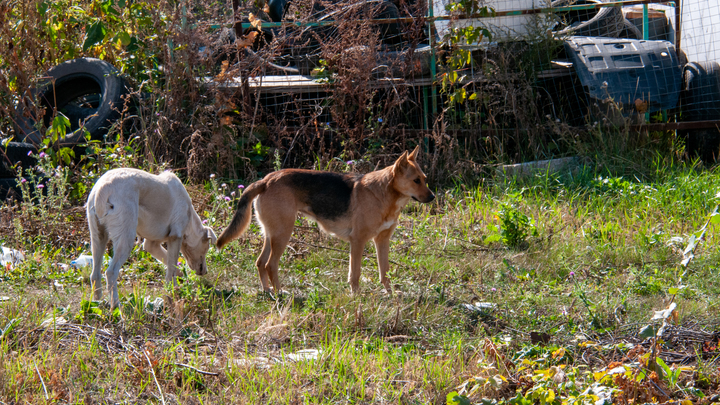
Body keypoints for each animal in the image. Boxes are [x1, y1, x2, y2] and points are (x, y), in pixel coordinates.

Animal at [87, 166, 217, 306]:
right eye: (207, 248)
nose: (205, 272)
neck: (190, 217)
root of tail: (102, 188)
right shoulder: (175, 237)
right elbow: (171, 269)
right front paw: (173, 293)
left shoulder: (151, 245)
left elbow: (170, 265)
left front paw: (179, 277)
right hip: (126, 238)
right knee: (111, 272)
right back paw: (116, 306)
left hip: (98, 237)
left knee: (95, 274)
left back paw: (97, 302)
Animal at [217, 145, 434, 294]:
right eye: (416, 181)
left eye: (425, 179)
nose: (432, 197)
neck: (385, 193)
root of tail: (266, 180)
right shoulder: (358, 241)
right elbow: (355, 274)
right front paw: (356, 297)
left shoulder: (382, 241)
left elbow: (384, 272)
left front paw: (390, 295)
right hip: (283, 234)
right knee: (270, 265)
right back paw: (280, 293)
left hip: (272, 234)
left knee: (260, 263)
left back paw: (267, 291)